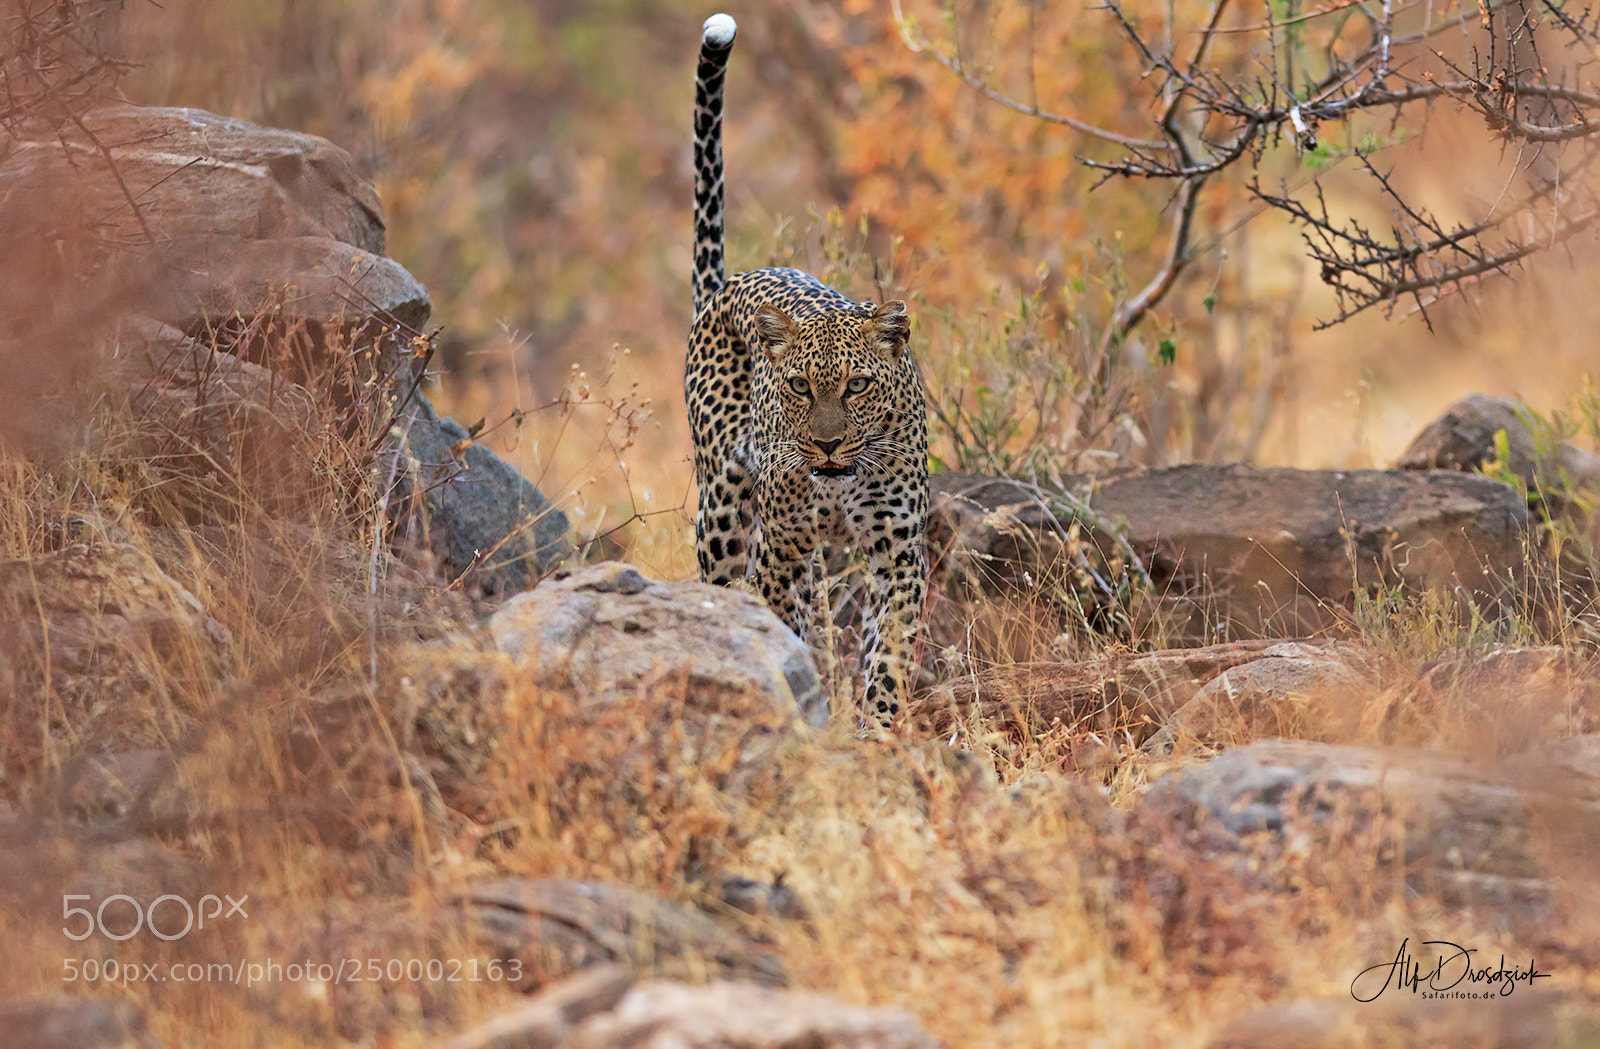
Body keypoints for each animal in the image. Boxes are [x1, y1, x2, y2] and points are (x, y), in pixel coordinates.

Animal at [686, 12, 929, 726]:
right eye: (798, 386)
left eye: (858, 386)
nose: (824, 445)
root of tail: (725, 285)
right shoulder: (779, 545)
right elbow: (768, 623)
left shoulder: (899, 556)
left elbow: (888, 655)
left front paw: (880, 728)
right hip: (725, 508)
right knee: (730, 588)